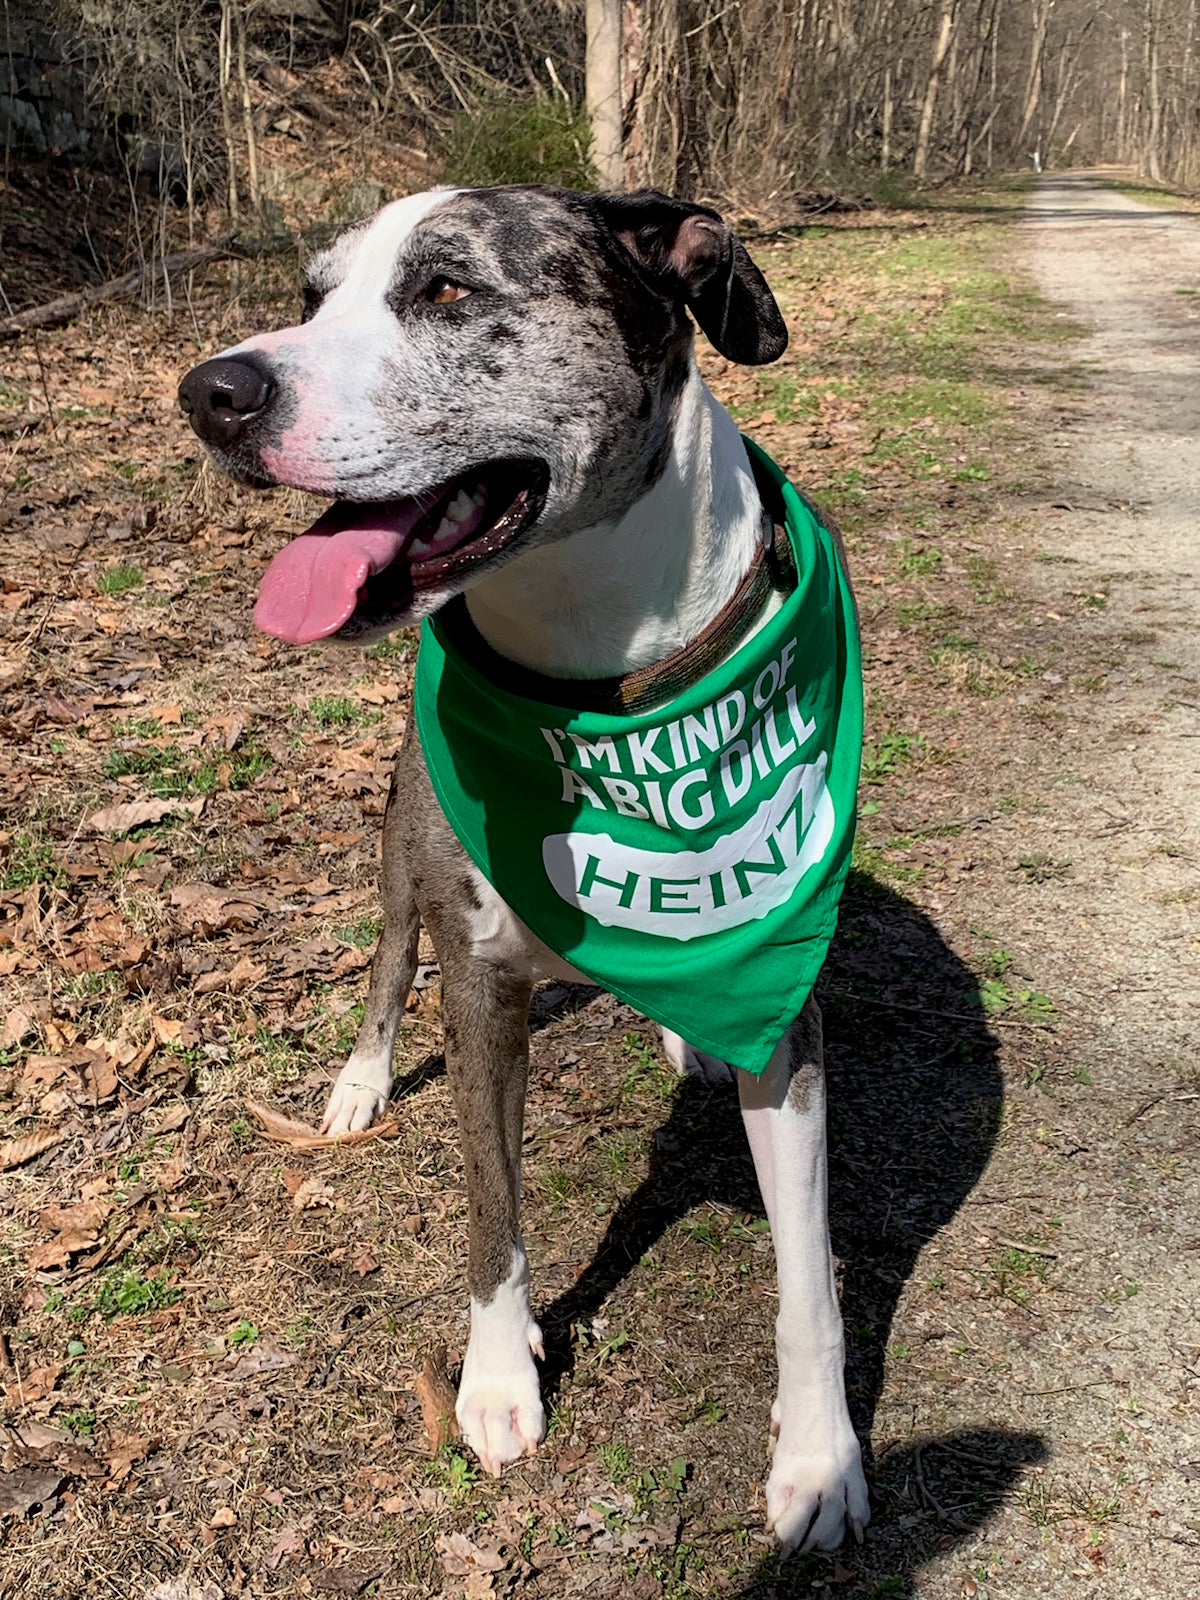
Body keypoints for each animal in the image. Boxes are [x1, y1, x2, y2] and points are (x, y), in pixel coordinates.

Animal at [178, 184, 876, 1548]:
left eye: (447, 288)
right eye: (310, 298)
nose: (211, 391)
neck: (603, 680)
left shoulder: (784, 1003)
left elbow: (808, 1274)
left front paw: (820, 1455)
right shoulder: (480, 982)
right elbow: (494, 1211)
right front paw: (500, 1381)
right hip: (402, 848)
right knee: (386, 967)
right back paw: (358, 1084)